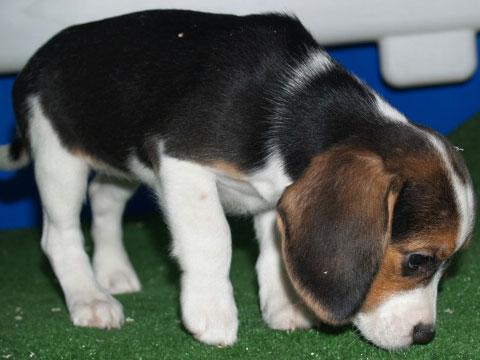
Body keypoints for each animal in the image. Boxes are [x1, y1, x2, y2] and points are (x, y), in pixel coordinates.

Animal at [0, 9, 474, 350]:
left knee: (102, 199)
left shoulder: (275, 195)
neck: (292, 108)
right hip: (58, 157)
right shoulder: (181, 163)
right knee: (59, 236)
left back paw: (114, 273)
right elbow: (213, 241)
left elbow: (275, 253)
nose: (425, 336)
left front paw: (282, 306)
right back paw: (91, 299)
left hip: (121, 166)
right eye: (417, 261)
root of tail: (34, 62)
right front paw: (211, 313)